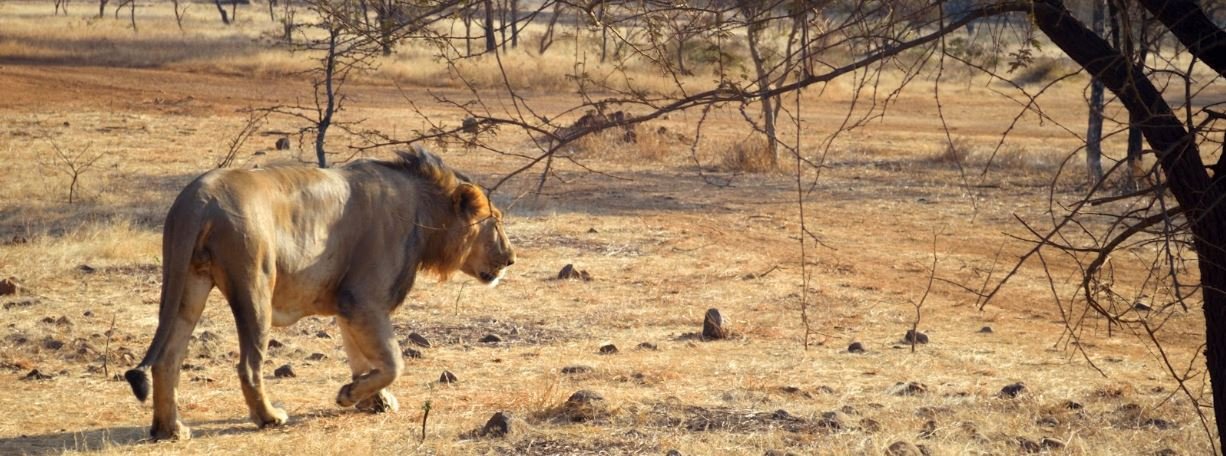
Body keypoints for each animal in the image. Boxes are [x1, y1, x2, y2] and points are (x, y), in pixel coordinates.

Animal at [128, 144, 517, 438]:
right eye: (496, 222)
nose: (512, 258)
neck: (424, 211)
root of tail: (196, 198)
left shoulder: (350, 305)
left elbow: (362, 356)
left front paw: (372, 400)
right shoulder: (363, 298)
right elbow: (394, 361)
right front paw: (350, 395)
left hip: (187, 283)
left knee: (167, 359)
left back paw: (169, 429)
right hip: (255, 285)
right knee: (249, 365)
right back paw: (269, 417)